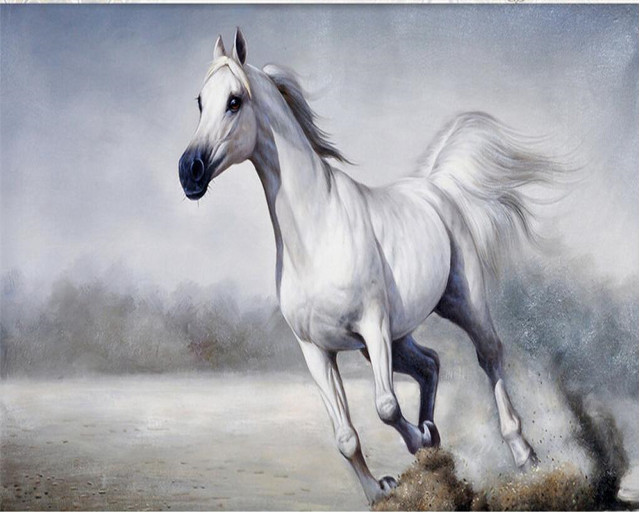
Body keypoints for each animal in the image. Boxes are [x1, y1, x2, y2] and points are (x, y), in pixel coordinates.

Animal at [179, 29, 558, 504]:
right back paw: (432, 433)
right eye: (199, 101)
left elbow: (386, 406)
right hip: (394, 337)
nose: (189, 171)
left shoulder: (373, 326)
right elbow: (345, 436)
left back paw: (523, 454)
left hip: (459, 306)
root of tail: (434, 187)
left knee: (489, 356)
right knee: (430, 362)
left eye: (234, 101)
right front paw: (382, 486)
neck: (317, 233)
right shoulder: (317, 351)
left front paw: (415, 443)